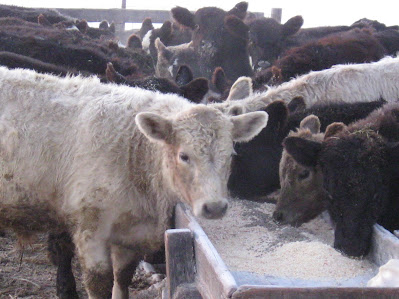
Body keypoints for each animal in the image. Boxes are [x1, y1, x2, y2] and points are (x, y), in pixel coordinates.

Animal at [0, 67, 268, 298]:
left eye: (231, 154)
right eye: (184, 155)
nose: (214, 207)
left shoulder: (131, 234)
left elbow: (122, 278)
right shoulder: (89, 229)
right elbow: (99, 283)